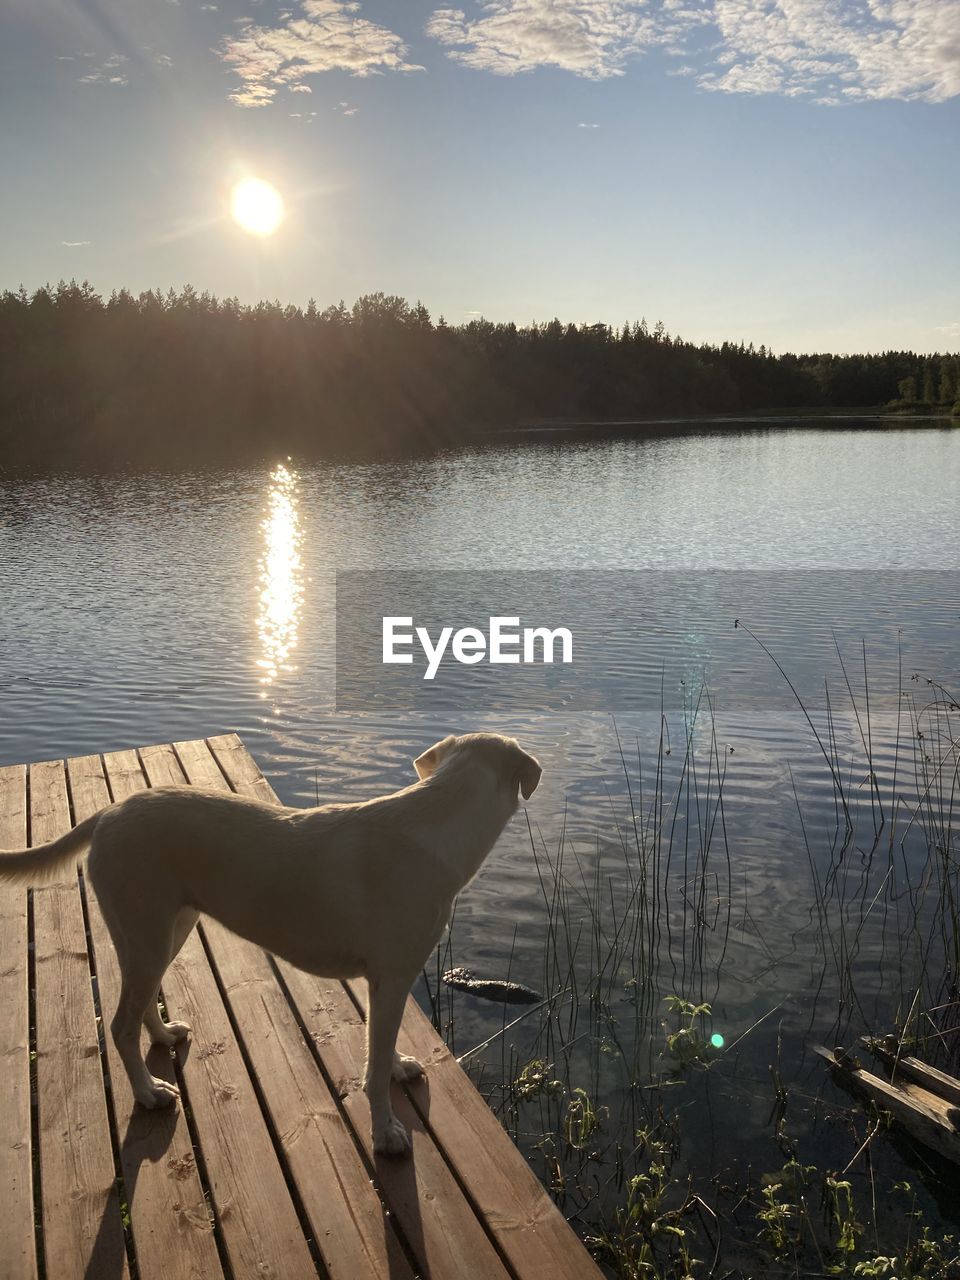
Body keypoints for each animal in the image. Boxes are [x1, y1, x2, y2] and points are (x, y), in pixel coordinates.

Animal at [0, 732, 542, 1162]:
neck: (436, 825)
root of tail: (109, 812)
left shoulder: (383, 982)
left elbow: (379, 1044)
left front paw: (396, 1067)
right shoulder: (392, 977)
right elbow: (374, 1065)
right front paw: (386, 1133)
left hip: (166, 931)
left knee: (141, 1006)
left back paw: (164, 1035)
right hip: (150, 934)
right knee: (119, 1026)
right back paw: (150, 1093)